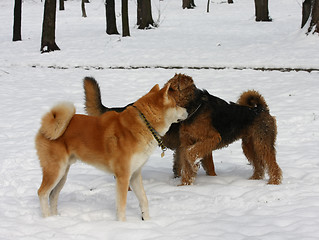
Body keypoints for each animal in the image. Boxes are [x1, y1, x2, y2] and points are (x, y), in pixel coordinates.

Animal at [35, 83, 189, 221]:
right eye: (176, 104)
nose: (187, 111)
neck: (144, 124)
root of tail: (44, 127)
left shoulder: (134, 174)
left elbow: (144, 200)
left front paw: (147, 220)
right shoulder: (123, 176)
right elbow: (122, 206)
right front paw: (122, 225)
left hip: (63, 174)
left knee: (53, 195)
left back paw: (55, 218)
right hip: (55, 170)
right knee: (42, 193)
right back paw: (47, 219)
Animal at [84, 74, 282, 185]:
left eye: (172, 88)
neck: (193, 108)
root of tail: (261, 109)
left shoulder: (210, 138)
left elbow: (191, 156)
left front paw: (190, 175)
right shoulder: (188, 142)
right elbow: (188, 161)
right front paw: (186, 183)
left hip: (260, 142)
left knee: (270, 163)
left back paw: (273, 182)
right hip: (250, 144)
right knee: (260, 164)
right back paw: (256, 179)